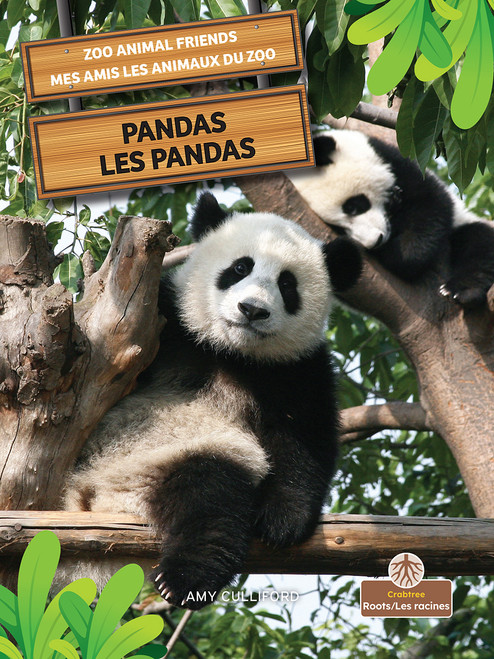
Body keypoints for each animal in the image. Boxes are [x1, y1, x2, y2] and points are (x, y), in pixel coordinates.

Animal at [62, 192, 362, 610]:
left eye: (287, 284)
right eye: (240, 268)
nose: (252, 310)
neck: (228, 351)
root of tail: (95, 500)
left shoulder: (296, 369)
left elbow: (304, 439)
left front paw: (283, 520)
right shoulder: (166, 320)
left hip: (175, 458)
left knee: (210, 499)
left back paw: (187, 576)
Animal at [290, 129, 494, 308]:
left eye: (353, 207)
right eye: (339, 228)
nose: (375, 241)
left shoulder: (400, 166)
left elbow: (430, 207)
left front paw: (398, 250)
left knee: (478, 244)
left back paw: (461, 291)